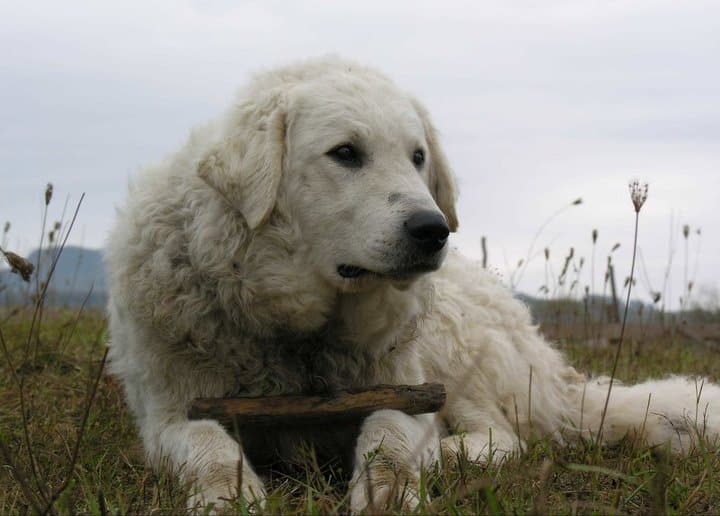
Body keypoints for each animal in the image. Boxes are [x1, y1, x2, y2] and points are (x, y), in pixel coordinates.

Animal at [105, 57, 720, 512]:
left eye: (418, 156)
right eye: (345, 153)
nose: (433, 230)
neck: (300, 337)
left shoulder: (406, 394)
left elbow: (389, 443)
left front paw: (390, 492)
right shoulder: (169, 414)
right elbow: (209, 446)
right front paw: (227, 497)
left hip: (456, 352)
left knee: (504, 438)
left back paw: (452, 454)